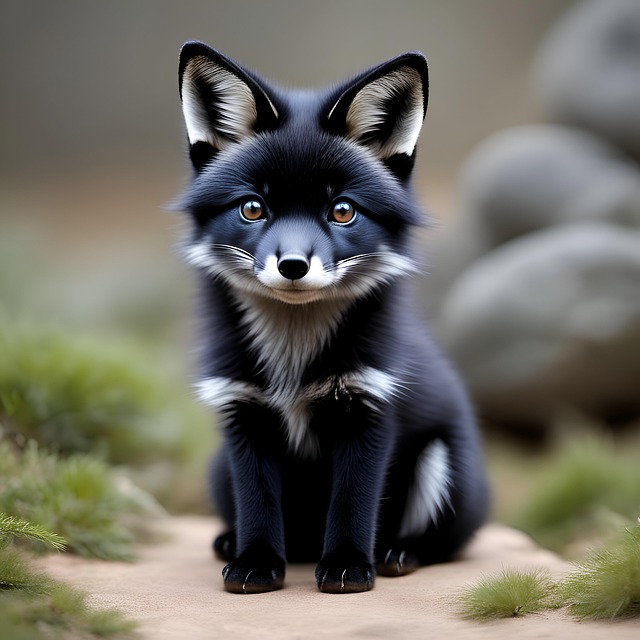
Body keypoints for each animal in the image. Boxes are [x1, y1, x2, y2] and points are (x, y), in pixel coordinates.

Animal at [176, 41, 490, 594]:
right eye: (253, 208)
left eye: (342, 211)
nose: (293, 265)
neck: (293, 362)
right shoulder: (243, 413)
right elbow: (258, 504)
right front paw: (256, 562)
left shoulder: (369, 408)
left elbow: (352, 502)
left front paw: (348, 566)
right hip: (218, 468)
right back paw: (235, 543)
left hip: (442, 465)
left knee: (444, 545)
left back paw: (398, 554)